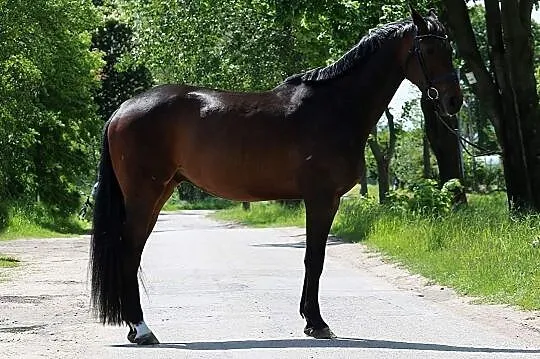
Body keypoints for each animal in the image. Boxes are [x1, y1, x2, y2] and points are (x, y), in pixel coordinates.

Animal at [90, 9, 462, 346]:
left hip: (159, 193)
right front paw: (317, 323)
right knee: (129, 251)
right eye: (430, 49)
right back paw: (141, 330)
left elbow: (313, 259)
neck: (335, 107)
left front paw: (310, 320)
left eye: (449, 47)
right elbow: (315, 258)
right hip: (145, 194)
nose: (454, 101)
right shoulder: (322, 199)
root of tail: (123, 109)